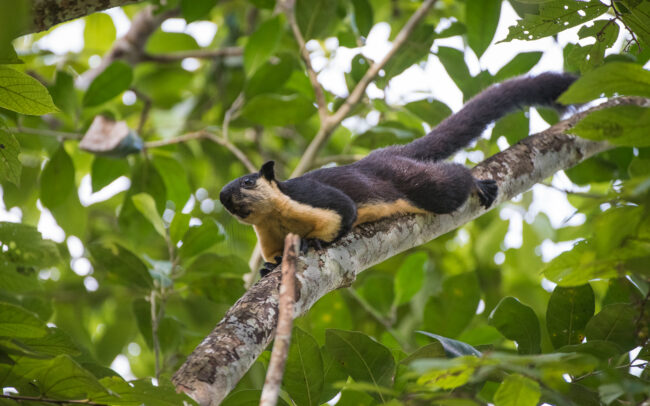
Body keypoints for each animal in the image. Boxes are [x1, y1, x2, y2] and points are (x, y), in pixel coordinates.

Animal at [219, 72, 577, 276]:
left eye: (247, 181)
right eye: (223, 193)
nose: (224, 197)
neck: (275, 217)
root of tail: (387, 155)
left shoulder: (311, 197)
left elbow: (343, 213)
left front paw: (313, 241)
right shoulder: (266, 234)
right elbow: (273, 254)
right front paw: (270, 266)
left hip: (418, 184)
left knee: (449, 182)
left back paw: (476, 183)